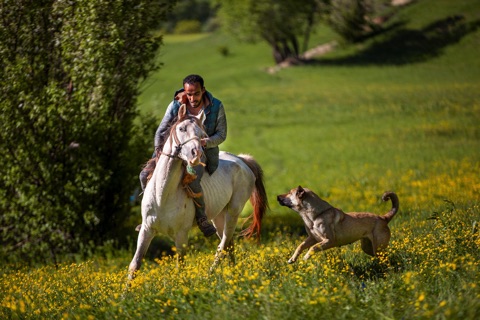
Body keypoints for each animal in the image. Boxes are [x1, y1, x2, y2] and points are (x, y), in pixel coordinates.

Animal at [127, 104, 268, 278]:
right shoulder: (146, 230)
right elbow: (135, 265)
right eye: (181, 128)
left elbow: (180, 267)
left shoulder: (181, 236)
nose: (196, 154)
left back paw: (210, 275)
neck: (162, 195)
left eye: (202, 135)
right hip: (219, 216)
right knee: (229, 244)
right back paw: (233, 273)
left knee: (222, 246)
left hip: (233, 212)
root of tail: (242, 160)